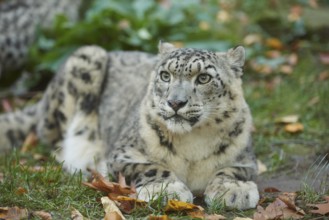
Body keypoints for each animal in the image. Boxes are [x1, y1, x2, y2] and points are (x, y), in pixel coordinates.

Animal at [1, 42, 260, 209]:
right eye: (165, 75)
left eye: (204, 78)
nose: (175, 102)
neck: (193, 141)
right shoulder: (123, 154)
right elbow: (151, 167)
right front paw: (166, 190)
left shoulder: (246, 159)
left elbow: (232, 170)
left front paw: (234, 190)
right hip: (87, 58)